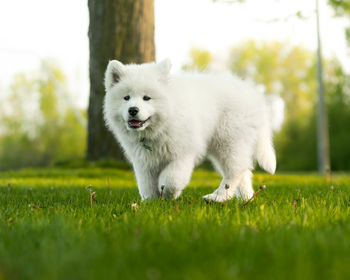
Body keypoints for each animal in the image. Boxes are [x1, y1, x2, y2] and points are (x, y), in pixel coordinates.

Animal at [102, 59, 284, 201]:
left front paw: (168, 195)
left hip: (229, 141)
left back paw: (217, 197)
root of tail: (254, 95)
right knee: (243, 171)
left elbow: (170, 179)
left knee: (235, 171)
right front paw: (150, 203)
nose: (133, 110)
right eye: (126, 98)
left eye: (147, 98)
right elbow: (146, 184)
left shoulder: (183, 153)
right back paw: (245, 198)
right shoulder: (144, 160)